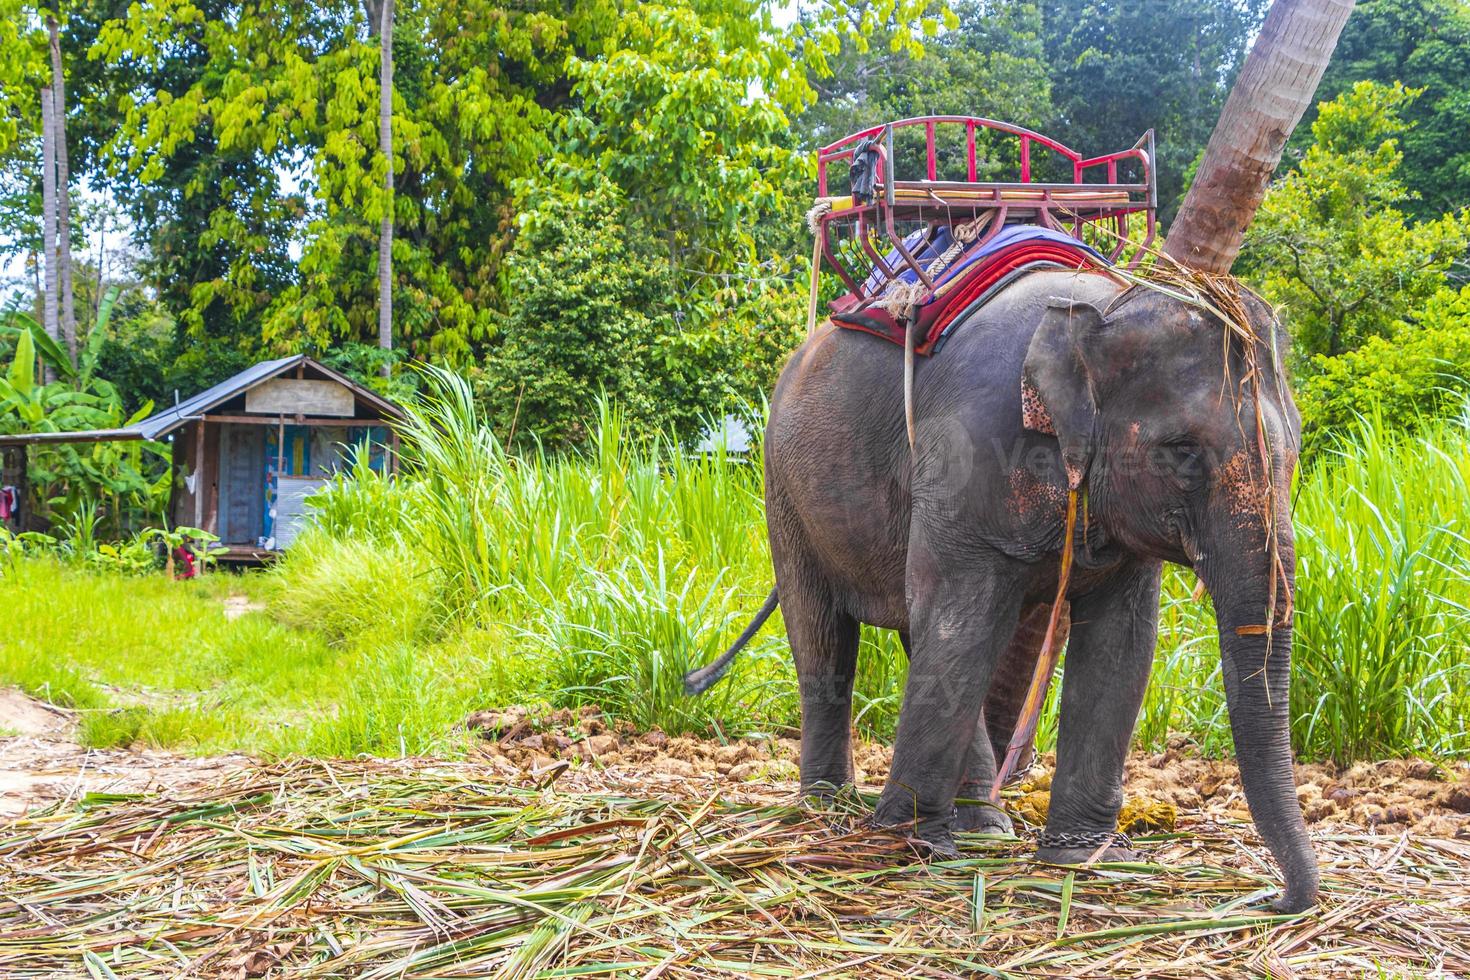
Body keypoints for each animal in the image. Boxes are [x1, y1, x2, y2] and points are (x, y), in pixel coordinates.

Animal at [687, 265, 1323, 910]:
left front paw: (1083, 858)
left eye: (1298, 444)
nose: (1271, 900)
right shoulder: (965, 455)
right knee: (829, 640)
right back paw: (830, 807)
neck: (1102, 307)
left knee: (921, 633)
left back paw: (983, 828)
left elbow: (1120, 647)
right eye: (1183, 450)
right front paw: (906, 847)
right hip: (784, 492)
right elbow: (960, 627)